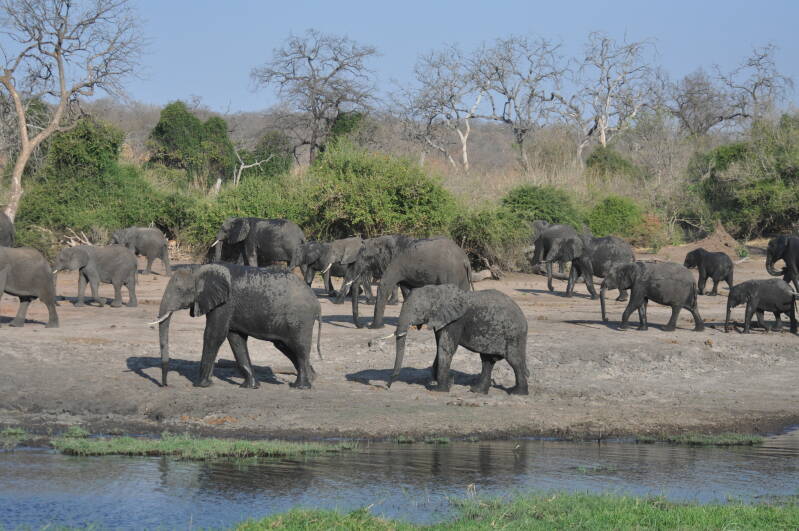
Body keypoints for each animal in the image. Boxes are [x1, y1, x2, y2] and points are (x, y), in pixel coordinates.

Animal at [152, 264, 321, 389]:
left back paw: (300, 386)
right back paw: (312, 378)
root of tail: (317, 303)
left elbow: (214, 335)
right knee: (284, 345)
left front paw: (200, 385)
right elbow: (236, 339)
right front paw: (249, 386)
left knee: (299, 347)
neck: (200, 269)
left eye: (180, 290)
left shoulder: (225, 303)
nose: (166, 385)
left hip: (300, 318)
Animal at [387, 284, 529, 395]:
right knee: (487, 361)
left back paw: (517, 393)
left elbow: (445, 349)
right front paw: (447, 383)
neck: (437, 291)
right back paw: (477, 391)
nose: (388, 386)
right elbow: (440, 347)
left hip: (513, 334)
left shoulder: (454, 322)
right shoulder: (441, 321)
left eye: (417, 310)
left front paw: (439, 390)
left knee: (514, 360)